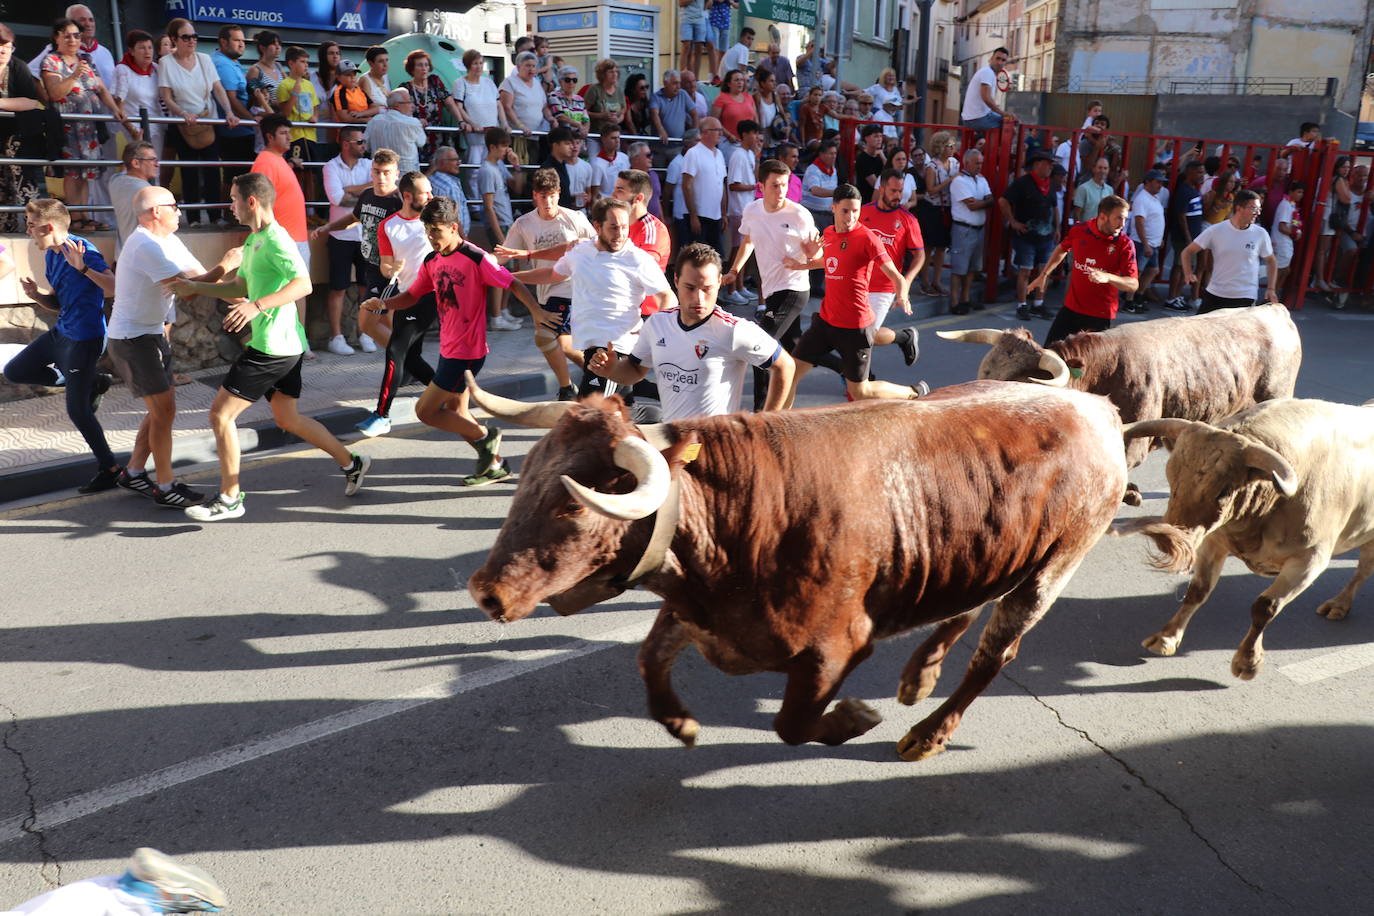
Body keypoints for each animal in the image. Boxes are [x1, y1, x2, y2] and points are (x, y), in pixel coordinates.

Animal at [461, 376, 1126, 763]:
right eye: (527, 474)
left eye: (574, 504)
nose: (485, 592)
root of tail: (1092, 403)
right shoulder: (699, 613)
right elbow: (649, 659)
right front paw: (681, 723)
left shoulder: (836, 649)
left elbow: (792, 724)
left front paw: (855, 718)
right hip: (981, 551)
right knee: (963, 608)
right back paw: (919, 677)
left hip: (1052, 566)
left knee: (996, 652)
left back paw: (928, 733)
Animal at [1115, 398, 1374, 681]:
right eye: (1172, 479)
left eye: (1223, 491)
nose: (1166, 540)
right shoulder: (1214, 542)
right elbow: (1197, 591)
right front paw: (1166, 638)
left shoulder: (1308, 560)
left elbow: (1265, 606)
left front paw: (1248, 661)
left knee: (1363, 570)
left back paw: (1339, 603)